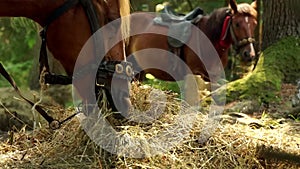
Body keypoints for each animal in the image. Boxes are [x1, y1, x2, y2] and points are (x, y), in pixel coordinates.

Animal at [127, 0, 256, 82]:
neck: (209, 36)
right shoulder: (196, 74)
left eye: (255, 23)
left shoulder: (214, 77)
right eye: (237, 24)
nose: (249, 54)